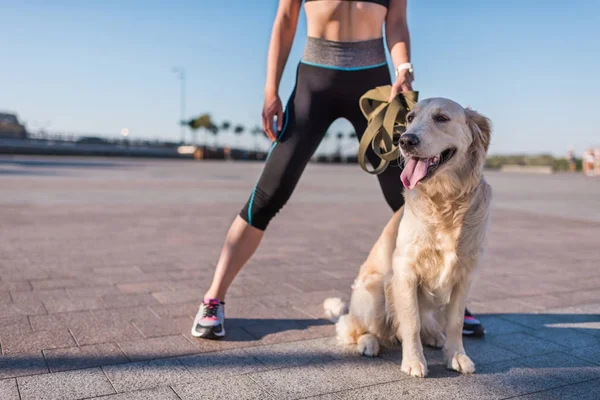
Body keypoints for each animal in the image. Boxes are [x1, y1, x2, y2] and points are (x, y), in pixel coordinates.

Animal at [324, 97, 492, 378]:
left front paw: (457, 356)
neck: (446, 201)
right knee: (351, 327)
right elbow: (410, 321)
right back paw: (369, 343)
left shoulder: (464, 274)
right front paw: (414, 361)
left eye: (442, 118)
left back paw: (435, 336)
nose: (405, 140)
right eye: (410, 118)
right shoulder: (405, 270)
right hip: (375, 291)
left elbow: (455, 322)